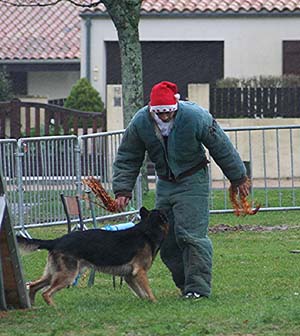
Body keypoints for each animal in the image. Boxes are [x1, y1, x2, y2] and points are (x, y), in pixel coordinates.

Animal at [17, 206, 169, 306]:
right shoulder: (140, 273)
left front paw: (146, 302)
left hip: (53, 274)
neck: (148, 229)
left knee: (33, 286)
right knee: (46, 293)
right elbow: (148, 291)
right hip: (67, 276)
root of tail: (57, 240)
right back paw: (54, 308)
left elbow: (141, 293)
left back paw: (33, 307)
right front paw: (155, 302)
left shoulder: (129, 277)